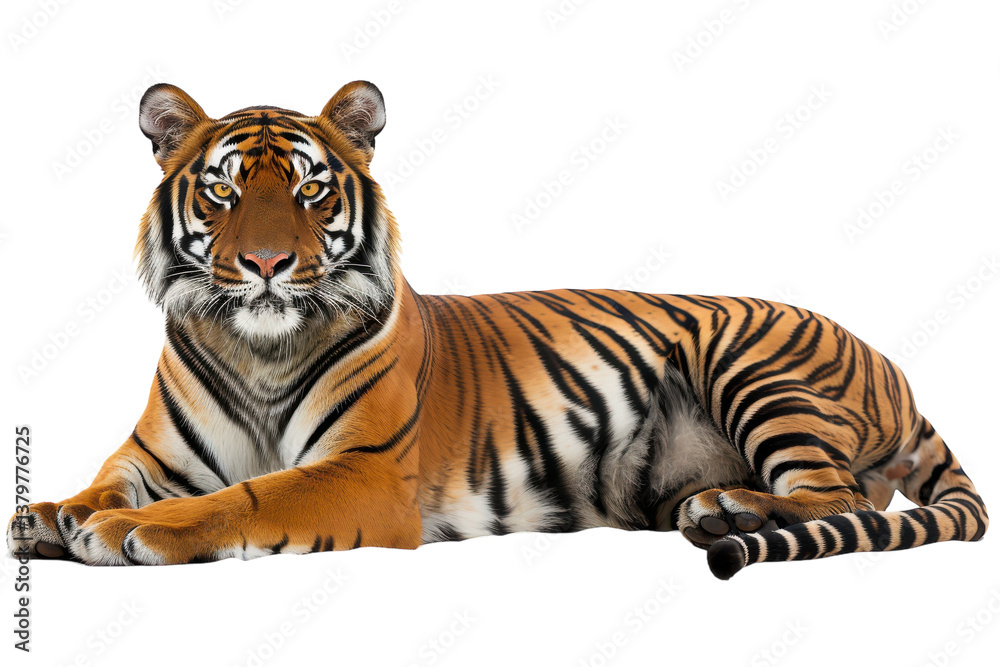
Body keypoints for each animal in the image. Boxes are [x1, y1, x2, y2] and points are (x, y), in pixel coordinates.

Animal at [6, 81, 987, 580]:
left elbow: (246, 496)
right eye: (222, 190)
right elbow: (105, 482)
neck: (258, 345)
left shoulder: (364, 472)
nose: (267, 264)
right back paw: (719, 504)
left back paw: (730, 511)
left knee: (844, 496)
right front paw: (52, 514)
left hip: (752, 362)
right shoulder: (155, 454)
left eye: (311, 190)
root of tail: (897, 368)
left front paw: (134, 532)